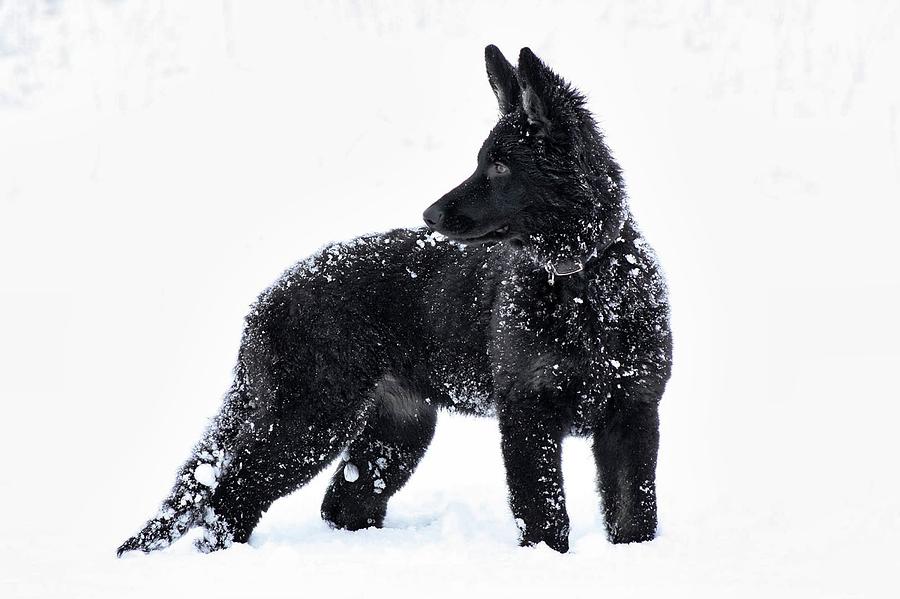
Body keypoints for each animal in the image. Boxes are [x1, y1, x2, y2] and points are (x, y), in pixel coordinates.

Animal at [118, 45, 668, 556]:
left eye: (499, 167)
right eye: (482, 161)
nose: (429, 215)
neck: (583, 285)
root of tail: (269, 297)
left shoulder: (634, 411)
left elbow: (634, 512)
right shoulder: (526, 414)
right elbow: (544, 513)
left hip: (397, 428)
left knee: (342, 501)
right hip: (310, 417)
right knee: (231, 496)